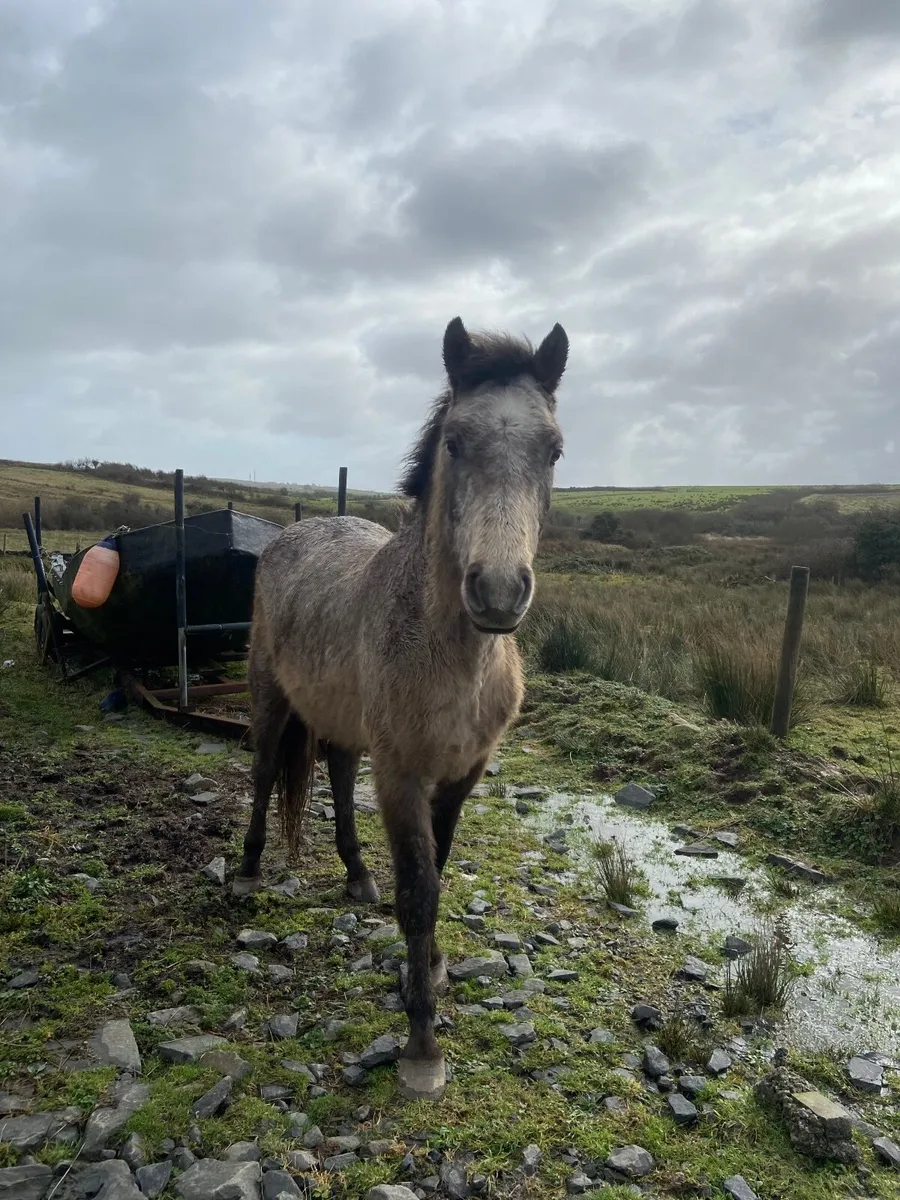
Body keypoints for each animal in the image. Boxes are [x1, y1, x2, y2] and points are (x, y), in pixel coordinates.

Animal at [236, 315, 568, 1100]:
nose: (498, 592)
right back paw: (250, 867)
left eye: (553, 450)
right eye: (454, 441)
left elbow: (439, 871)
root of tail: (291, 533)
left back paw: (357, 875)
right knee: (264, 774)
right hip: (270, 696)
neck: (455, 658)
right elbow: (418, 891)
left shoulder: (461, 777)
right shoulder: (402, 777)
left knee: (336, 772)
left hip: (343, 723)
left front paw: (436, 968)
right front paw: (421, 1042)